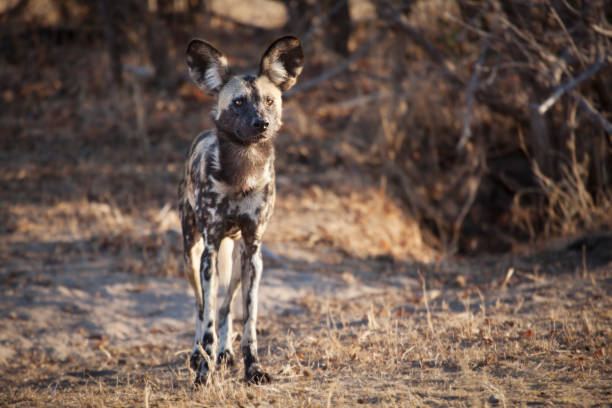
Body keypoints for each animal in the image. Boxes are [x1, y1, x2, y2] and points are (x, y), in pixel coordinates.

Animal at [177, 36, 304, 384]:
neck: (243, 172)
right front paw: (204, 375)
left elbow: (249, 320)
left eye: (270, 101)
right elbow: (206, 319)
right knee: (200, 307)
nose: (261, 123)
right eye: (237, 103)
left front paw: (253, 368)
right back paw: (199, 355)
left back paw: (225, 353)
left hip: (235, 258)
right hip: (192, 254)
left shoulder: (253, 250)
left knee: (226, 306)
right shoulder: (208, 250)